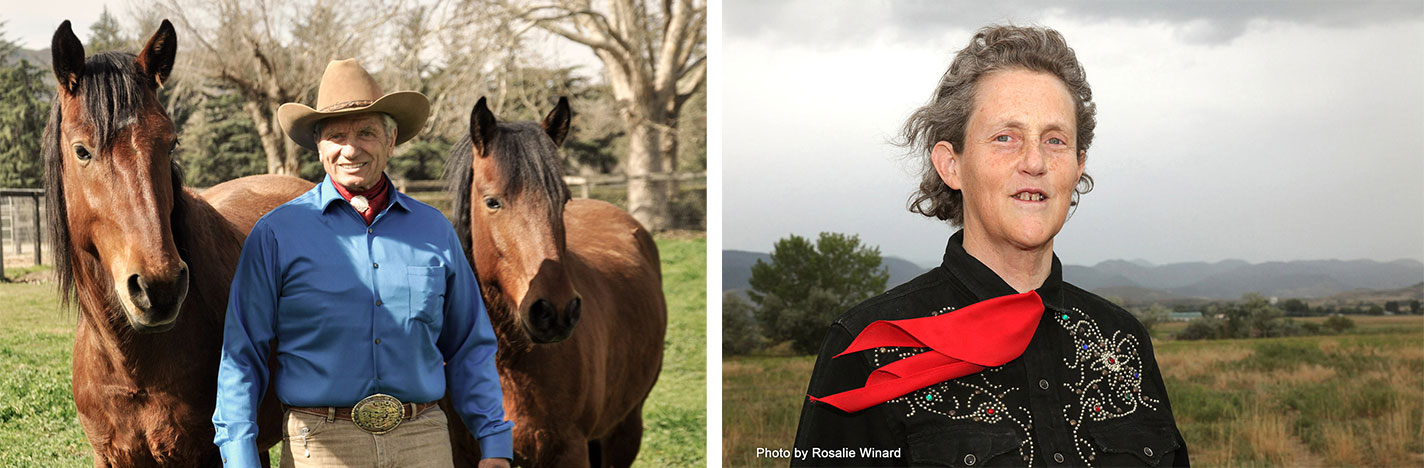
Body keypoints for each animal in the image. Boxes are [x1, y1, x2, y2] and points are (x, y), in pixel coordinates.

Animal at [441, 96, 669, 463]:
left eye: (563, 201)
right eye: (492, 202)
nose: (554, 312)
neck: (509, 363)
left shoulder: (568, 450)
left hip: (625, 429)